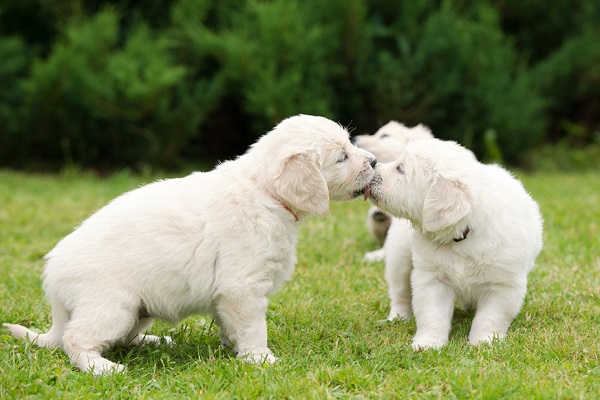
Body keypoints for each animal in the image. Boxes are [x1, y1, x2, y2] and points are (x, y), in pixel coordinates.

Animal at [4, 114, 378, 374]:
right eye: (342, 157)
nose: (374, 161)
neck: (264, 191)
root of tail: (52, 277)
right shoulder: (242, 287)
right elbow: (254, 326)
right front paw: (261, 359)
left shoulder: (229, 294)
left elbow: (231, 324)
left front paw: (234, 349)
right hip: (112, 305)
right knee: (75, 340)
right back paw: (102, 368)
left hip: (135, 311)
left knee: (121, 338)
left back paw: (153, 342)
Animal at [368, 138, 548, 350]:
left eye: (400, 169)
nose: (372, 167)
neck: (463, 235)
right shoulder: (432, 278)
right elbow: (432, 315)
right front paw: (428, 343)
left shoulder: (503, 285)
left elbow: (489, 318)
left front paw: (483, 342)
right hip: (399, 255)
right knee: (400, 293)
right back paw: (397, 317)